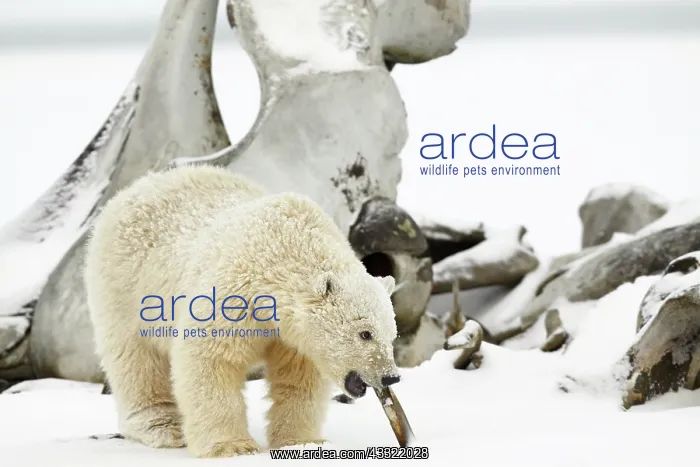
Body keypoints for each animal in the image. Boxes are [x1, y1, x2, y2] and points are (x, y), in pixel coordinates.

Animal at [84, 165, 401, 458]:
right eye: (365, 333)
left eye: (391, 336)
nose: (391, 377)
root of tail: (141, 184)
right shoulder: (233, 295)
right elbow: (211, 359)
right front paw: (232, 447)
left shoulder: (294, 336)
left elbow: (299, 377)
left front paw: (301, 442)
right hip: (125, 286)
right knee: (136, 358)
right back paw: (161, 426)